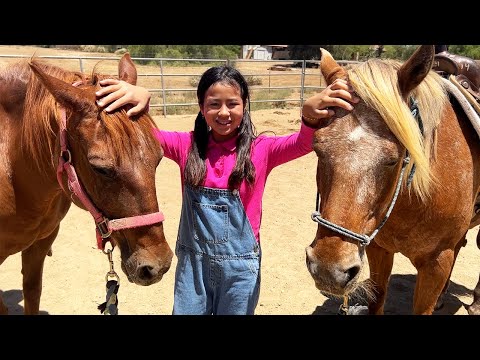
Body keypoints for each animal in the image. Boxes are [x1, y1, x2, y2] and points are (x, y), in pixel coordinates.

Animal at [306, 45, 480, 316]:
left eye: (392, 160)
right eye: (317, 148)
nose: (328, 270)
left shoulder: (437, 262)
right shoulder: (378, 248)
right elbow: (378, 299)